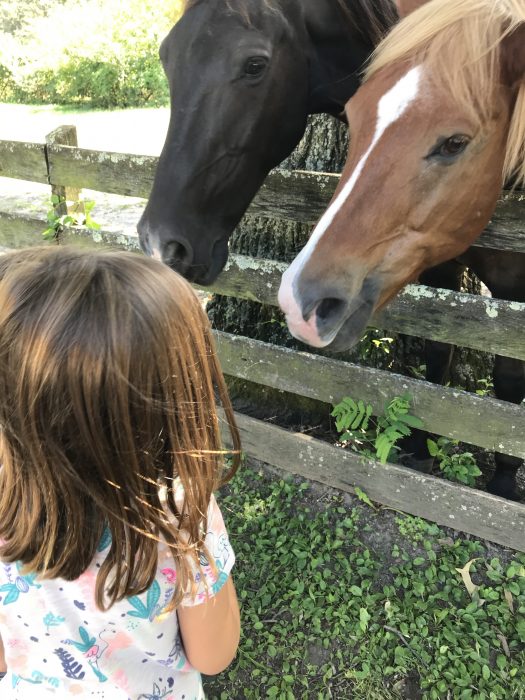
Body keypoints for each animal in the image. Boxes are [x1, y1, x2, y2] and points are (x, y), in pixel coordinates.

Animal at [278, 0, 525, 499]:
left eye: (455, 142)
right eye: (354, 116)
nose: (301, 302)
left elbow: (510, 377)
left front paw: (506, 481)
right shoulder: (441, 266)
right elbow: (439, 352)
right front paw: (421, 446)